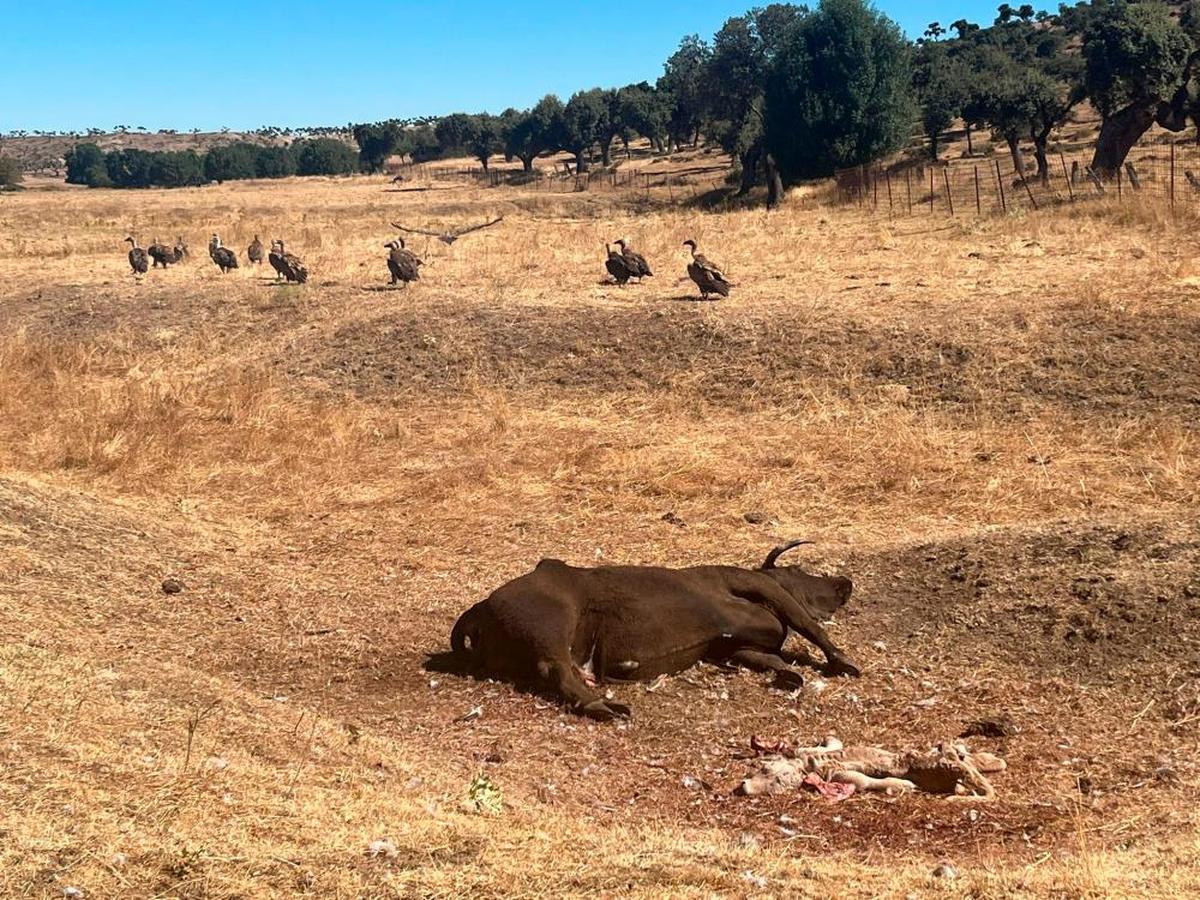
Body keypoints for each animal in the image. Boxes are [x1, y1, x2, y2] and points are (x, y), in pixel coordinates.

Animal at [446, 540, 859, 724]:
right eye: (800, 569)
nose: (845, 582)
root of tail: (480, 608)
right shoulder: (762, 590)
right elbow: (810, 627)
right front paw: (843, 662)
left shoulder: (733, 649)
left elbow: (771, 658)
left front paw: (788, 675)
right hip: (554, 624)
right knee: (556, 670)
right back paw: (603, 706)